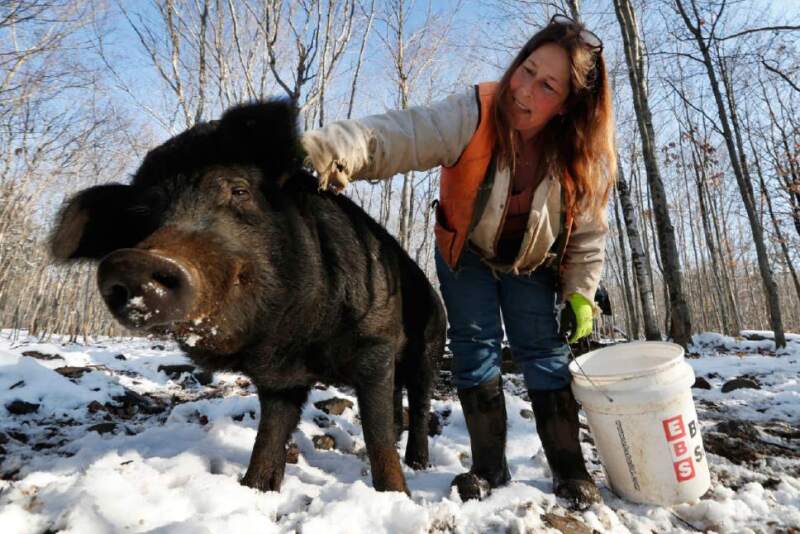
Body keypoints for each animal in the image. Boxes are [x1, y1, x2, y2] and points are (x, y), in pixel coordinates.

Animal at [49, 100, 445, 495]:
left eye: (239, 191)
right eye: (141, 217)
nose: (135, 262)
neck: (296, 342)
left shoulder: (375, 343)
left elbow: (376, 435)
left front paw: (395, 494)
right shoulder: (280, 380)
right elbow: (268, 437)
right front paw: (255, 488)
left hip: (429, 347)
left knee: (419, 403)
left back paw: (418, 462)